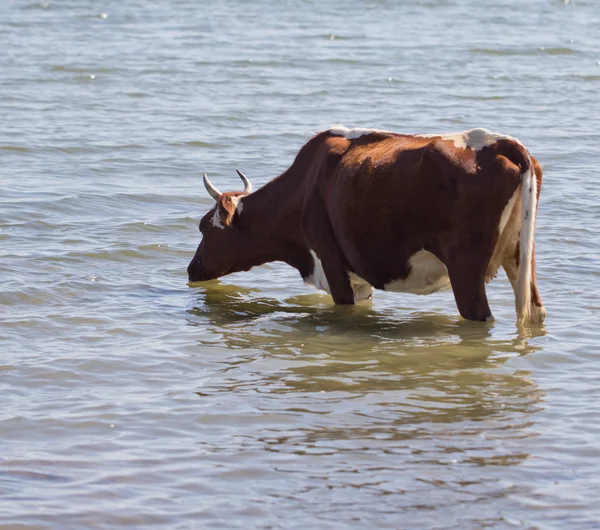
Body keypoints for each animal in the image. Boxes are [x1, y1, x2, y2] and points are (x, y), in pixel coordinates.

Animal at [189, 126, 548, 324]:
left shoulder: (332, 264)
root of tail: (497, 142)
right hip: (521, 255)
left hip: (465, 270)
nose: (192, 269)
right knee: (533, 311)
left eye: (204, 227)